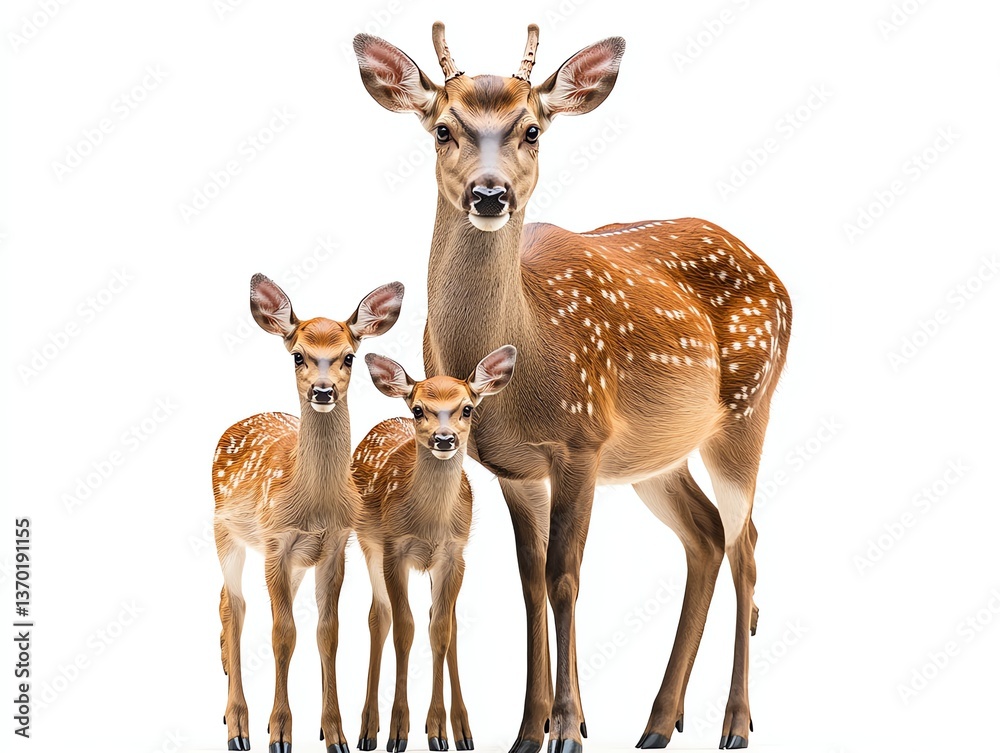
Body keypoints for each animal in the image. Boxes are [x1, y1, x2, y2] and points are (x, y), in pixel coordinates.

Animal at [212, 273, 404, 753]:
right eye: (298, 354)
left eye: (348, 356)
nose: (323, 390)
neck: (313, 504)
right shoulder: (275, 542)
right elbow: (283, 635)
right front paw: (280, 731)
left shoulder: (334, 545)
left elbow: (326, 633)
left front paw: (333, 732)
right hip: (224, 531)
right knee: (235, 606)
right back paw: (237, 724)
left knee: (228, 599)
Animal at [351, 345, 518, 753]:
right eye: (418, 409)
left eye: (467, 408)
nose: (444, 439)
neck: (429, 524)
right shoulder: (393, 550)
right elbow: (404, 628)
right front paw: (398, 731)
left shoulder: (454, 555)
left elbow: (440, 629)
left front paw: (440, 730)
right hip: (367, 543)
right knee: (378, 616)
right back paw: (367, 729)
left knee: (445, 621)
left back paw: (462, 730)